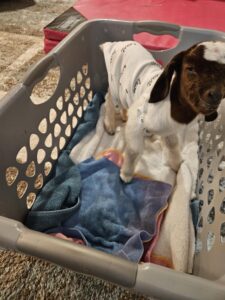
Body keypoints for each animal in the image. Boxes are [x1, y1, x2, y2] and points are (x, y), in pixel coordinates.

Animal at [101, 39, 225, 180]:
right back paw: (110, 124)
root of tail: (118, 42)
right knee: (109, 98)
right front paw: (126, 174)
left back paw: (123, 115)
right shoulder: (136, 121)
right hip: (115, 84)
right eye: (191, 69)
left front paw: (177, 166)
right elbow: (134, 150)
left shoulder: (168, 130)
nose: (215, 95)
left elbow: (173, 145)